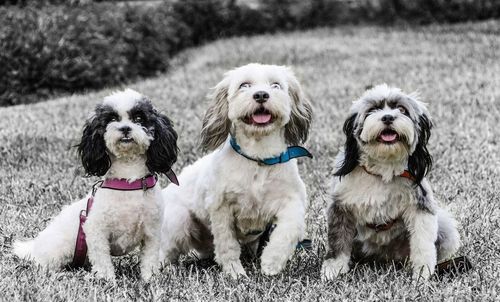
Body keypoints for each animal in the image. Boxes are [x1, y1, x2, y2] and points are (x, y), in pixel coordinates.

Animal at [13, 89, 180, 280]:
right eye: (112, 118)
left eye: (139, 118)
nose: (125, 128)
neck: (128, 181)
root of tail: (34, 246)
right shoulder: (95, 230)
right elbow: (102, 260)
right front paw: (107, 280)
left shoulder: (152, 233)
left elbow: (149, 259)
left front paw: (150, 279)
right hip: (57, 249)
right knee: (43, 265)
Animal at [159, 63, 312, 278]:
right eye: (244, 85)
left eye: (276, 85)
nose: (261, 95)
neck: (258, 159)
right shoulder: (220, 208)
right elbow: (227, 245)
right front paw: (235, 273)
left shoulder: (292, 199)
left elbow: (288, 230)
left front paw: (271, 262)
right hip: (179, 221)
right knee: (165, 250)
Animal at [320, 84, 460, 280]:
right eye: (373, 110)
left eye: (401, 109)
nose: (387, 117)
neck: (383, 169)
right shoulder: (340, 206)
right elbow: (338, 241)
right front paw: (333, 269)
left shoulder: (420, 206)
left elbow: (423, 243)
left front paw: (422, 272)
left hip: (445, 229)